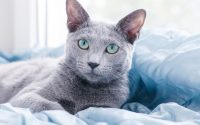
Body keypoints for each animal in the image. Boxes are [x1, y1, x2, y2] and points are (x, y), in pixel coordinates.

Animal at [0, 0, 147, 114]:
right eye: (83, 43)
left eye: (112, 48)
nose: (93, 63)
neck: (87, 91)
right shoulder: (26, 94)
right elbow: (50, 106)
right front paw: (66, 112)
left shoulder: (109, 106)